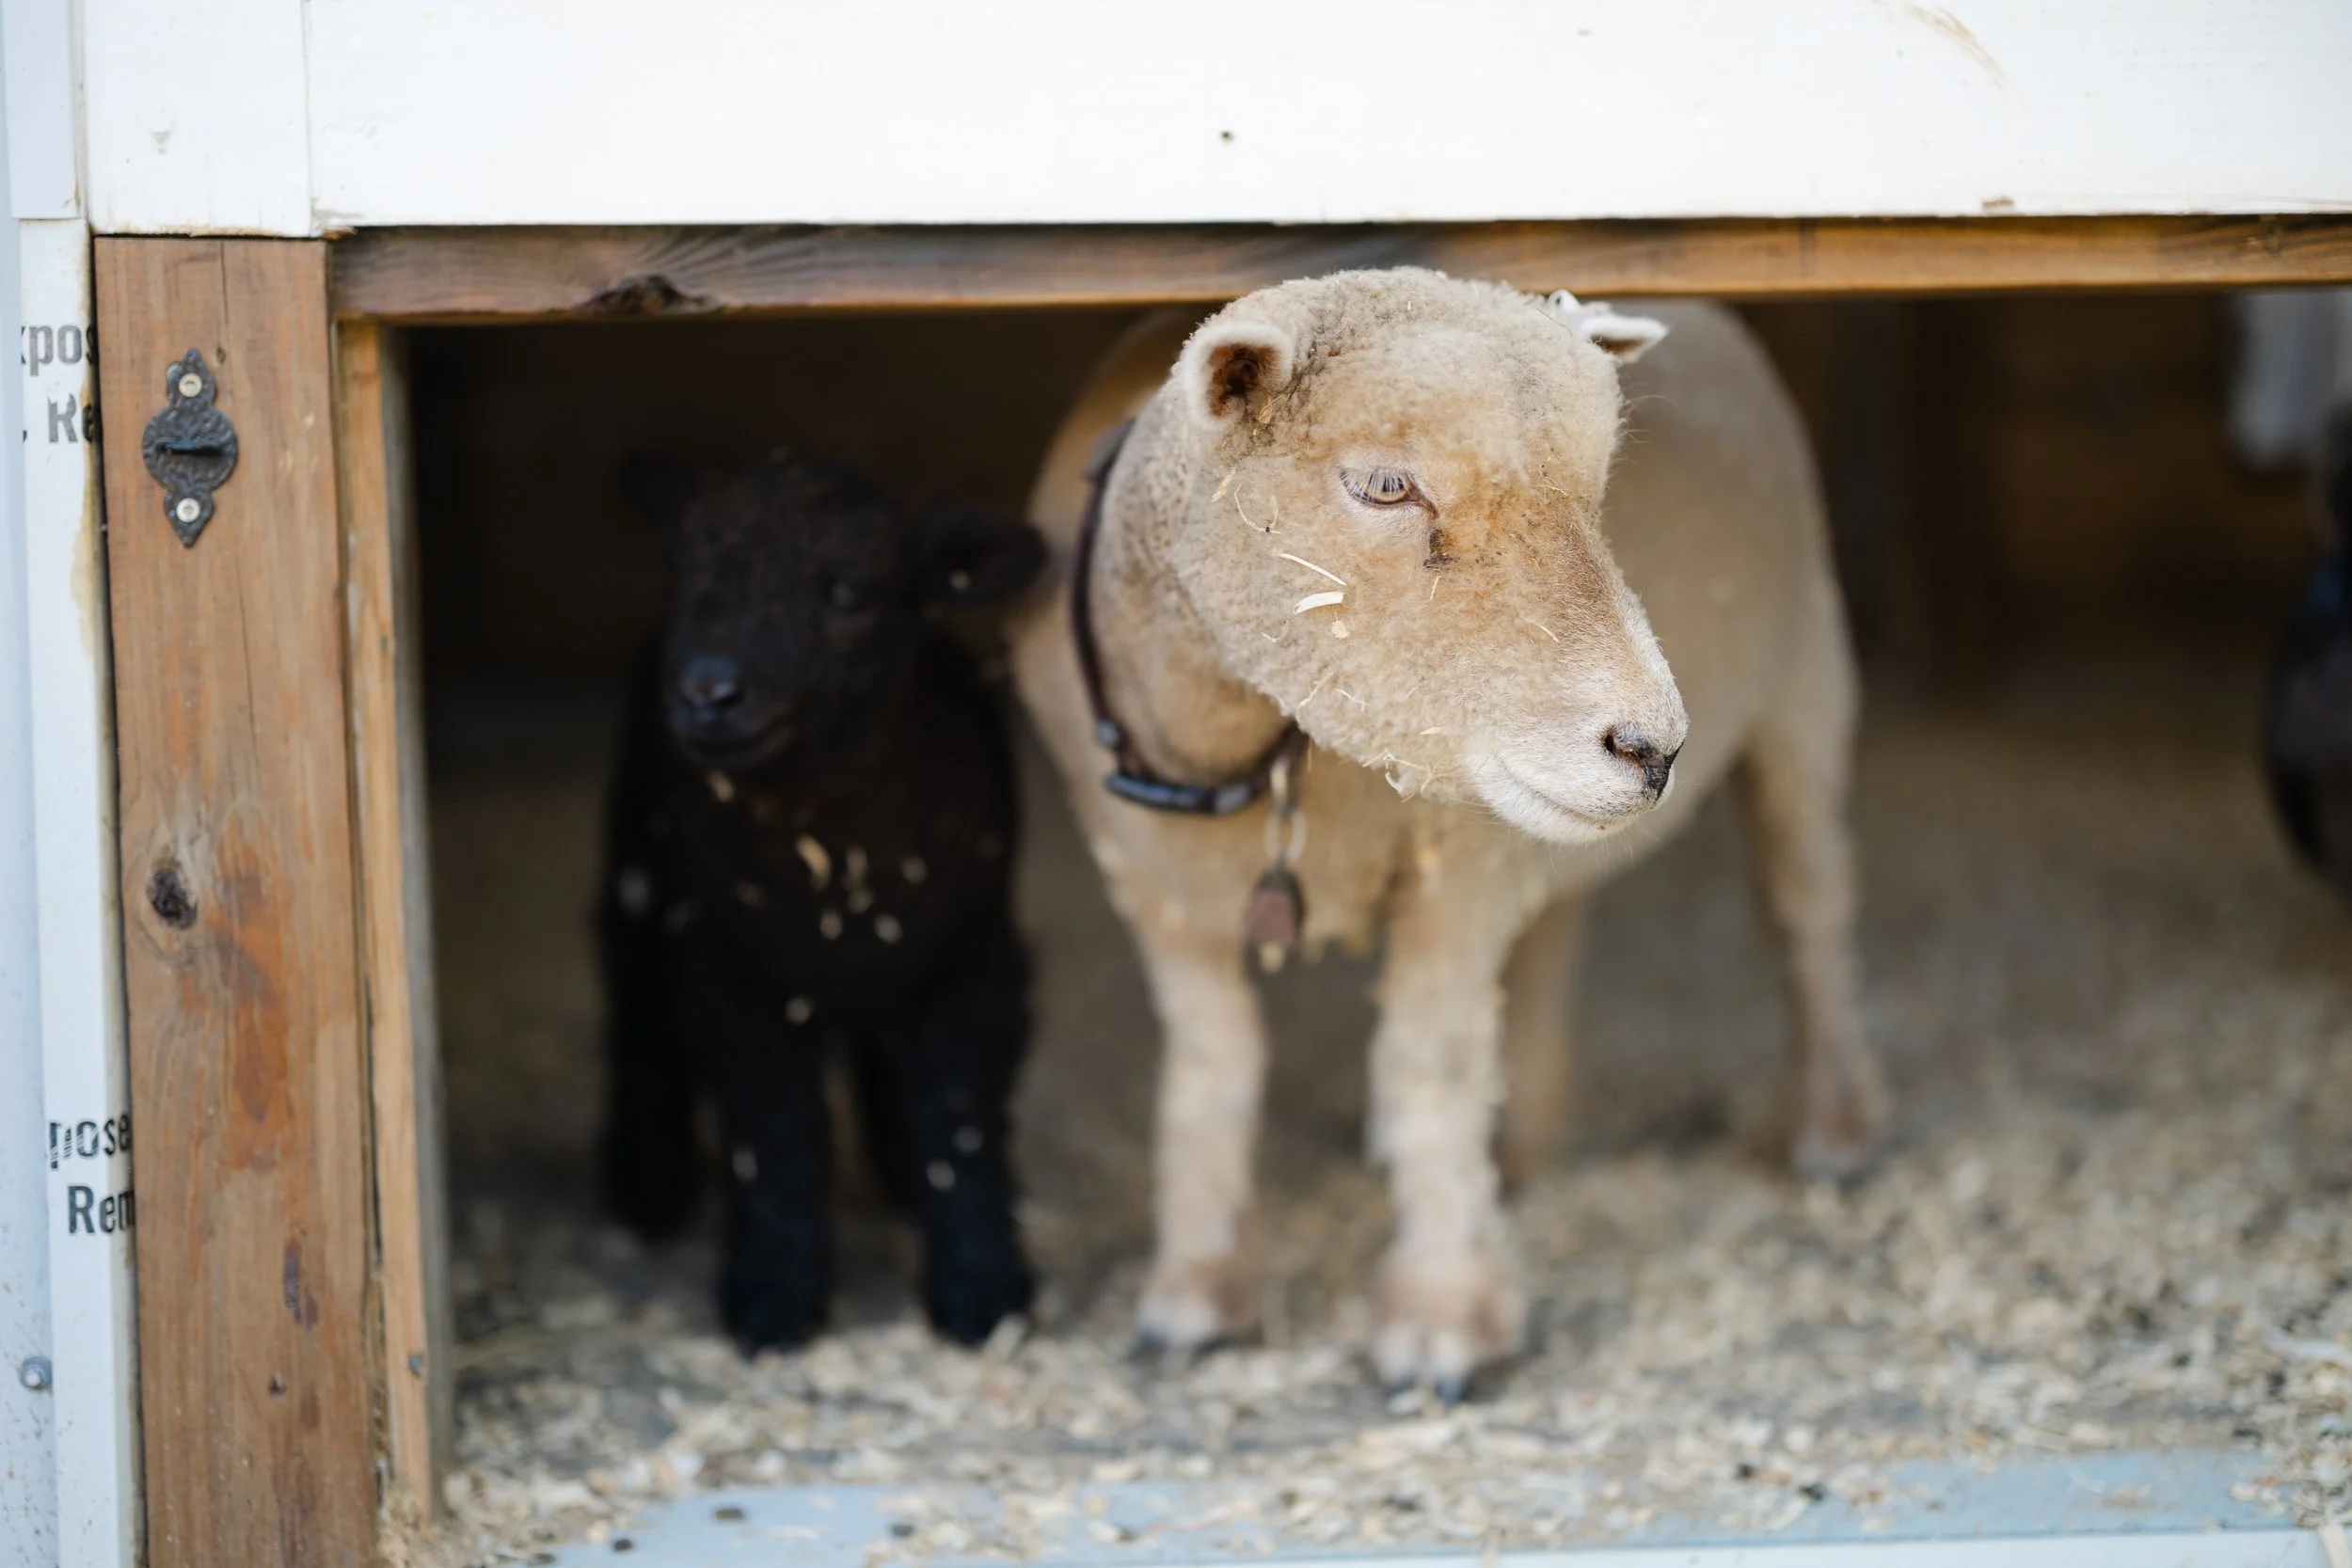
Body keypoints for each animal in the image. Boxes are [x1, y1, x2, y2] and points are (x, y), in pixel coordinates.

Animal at [597, 449, 1046, 1352]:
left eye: (849, 592)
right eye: (683, 572)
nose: (708, 690)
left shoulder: (974, 965)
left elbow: (958, 1119)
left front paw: (982, 1288)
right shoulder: (738, 979)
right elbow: (775, 1135)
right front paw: (774, 1296)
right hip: (640, 874)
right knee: (639, 1017)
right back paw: (649, 1183)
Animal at [1009, 269, 1888, 1396]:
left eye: (1598, 493)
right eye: (1387, 486)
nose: (1651, 747)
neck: (1226, 748)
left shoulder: (1453, 863)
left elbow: (1429, 1062)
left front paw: (1441, 1319)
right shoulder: (1149, 879)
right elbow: (1214, 1063)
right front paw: (1197, 1290)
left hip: (1804, 673)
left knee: (1806, 903)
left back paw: (1832, 1129)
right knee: (1553, 930)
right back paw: (1521, 1143)